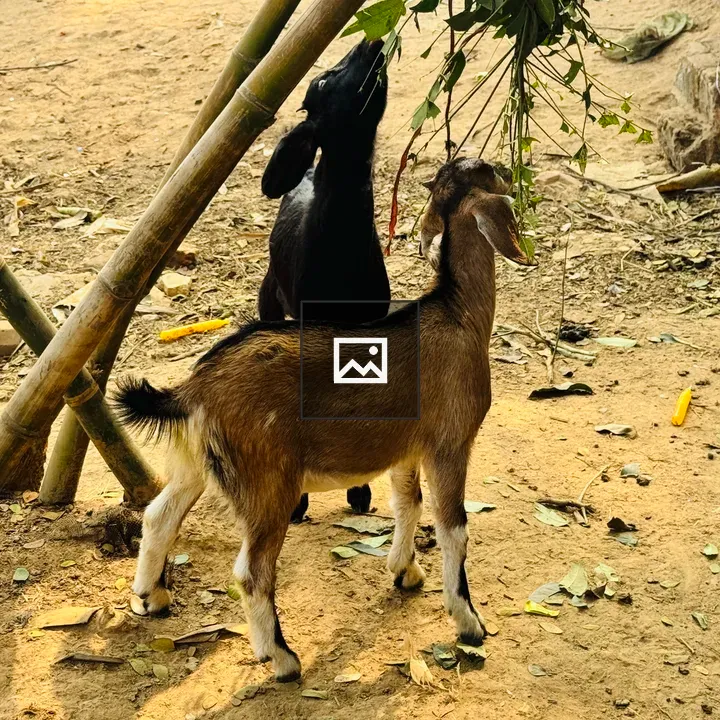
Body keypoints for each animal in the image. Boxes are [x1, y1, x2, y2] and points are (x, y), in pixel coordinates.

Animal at [115, 157, 533, 683]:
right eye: (491, 171)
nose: (512, 174)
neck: (457, 314)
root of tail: (196, 389)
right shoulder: (449, 442)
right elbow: (453, 525)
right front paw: (470, 623)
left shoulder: (405, 447)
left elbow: (408, 504)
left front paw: (405, 573)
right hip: (268, 481)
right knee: (252, 571)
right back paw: (282, 659)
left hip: (196, 464)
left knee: (159, 515)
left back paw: (153, 597)